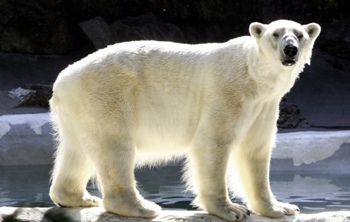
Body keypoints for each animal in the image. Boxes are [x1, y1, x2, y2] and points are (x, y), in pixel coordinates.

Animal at [48, 20, 320, 221]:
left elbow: (254, 151)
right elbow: (213, 141)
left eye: (299, 34)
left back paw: (79, 197)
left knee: (78, 150)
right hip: (106, 95)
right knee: (115, 147)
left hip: (79, 109)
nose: (290, 49)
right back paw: (142, 207)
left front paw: (281, 208)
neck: (253, 75)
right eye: (276, 34)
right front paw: (232, 210)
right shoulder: (228, 92)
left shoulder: (264, 105)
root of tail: (62, 80)